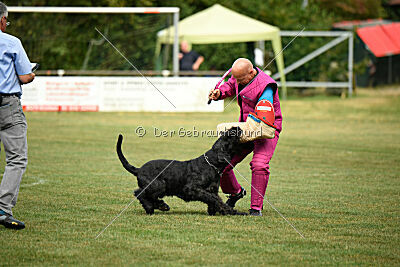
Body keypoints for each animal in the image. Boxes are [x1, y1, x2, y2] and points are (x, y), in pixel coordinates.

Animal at [115, 126, 247, 217]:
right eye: (228, 136)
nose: (237, 127)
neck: (211, 163)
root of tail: (139, 170)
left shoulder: (213, 190)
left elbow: (216, 200)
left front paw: (228, 211)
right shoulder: (192, 189)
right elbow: (212, 198)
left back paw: (159, 206)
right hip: (158, 186)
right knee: (140, 193)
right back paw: (154, 207)